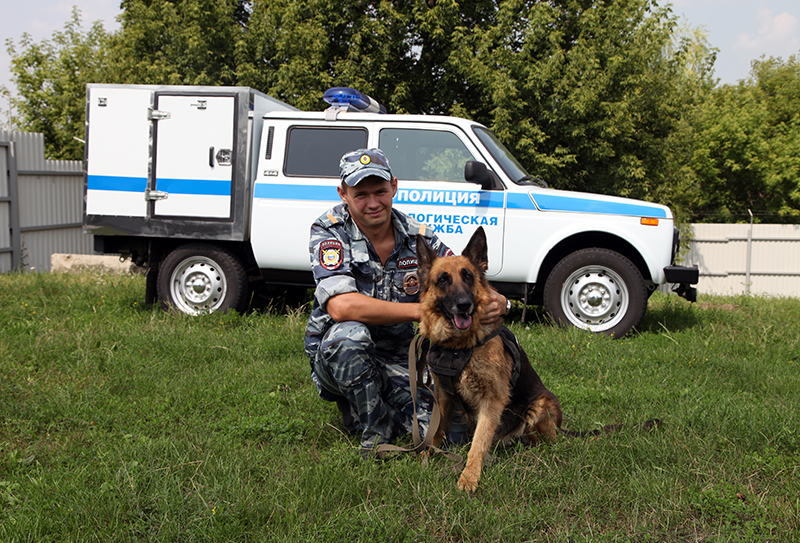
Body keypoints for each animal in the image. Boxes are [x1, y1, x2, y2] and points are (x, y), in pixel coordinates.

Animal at [416, 226, 564, 492]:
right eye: (442, 280)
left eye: (468, 277)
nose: (464, 305)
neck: (460, 347)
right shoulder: (444, 396)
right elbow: (437, 430)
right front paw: (428, 453)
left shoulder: (492, 400)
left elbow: (478, 443)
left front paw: (468, 478)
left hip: (540, 405)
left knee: (545, 442)